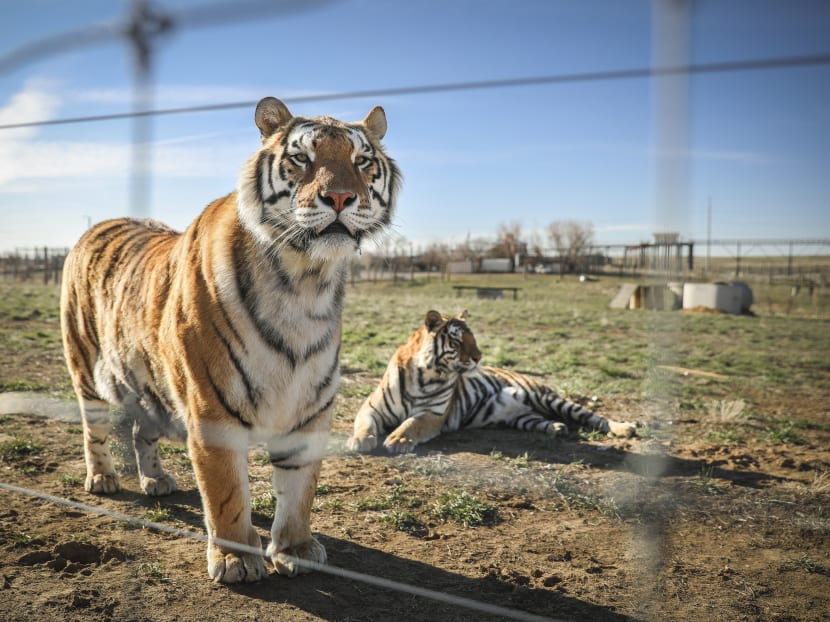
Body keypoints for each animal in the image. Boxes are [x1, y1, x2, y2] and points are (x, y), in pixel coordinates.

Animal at [60, 97, 400, 584]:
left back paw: (156, 481)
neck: (305, 281)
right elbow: (226, 493)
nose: (339, 197)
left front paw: (295, 549)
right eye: (302, 158)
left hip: (149, 382)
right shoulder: (212, 407)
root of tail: (98, 224)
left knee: (143, 430)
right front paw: (236, 558)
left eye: (362, 160)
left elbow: (300, 491)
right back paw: (103, 479)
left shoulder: (311, 409)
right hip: (85, 366)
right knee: (95, 429)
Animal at [346, 310, 637, 454]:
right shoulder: (371, 408)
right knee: (541, 420)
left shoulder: (434, 415)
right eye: (457, 341)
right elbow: (364, 424)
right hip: (522, 416)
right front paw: (359, 441)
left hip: (547, 397)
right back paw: (557, 428)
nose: (479, 357)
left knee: (594, 417)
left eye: (473, 339)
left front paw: (398, 440)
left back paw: (624, 428)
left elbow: (411, 423)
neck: (425, 374)